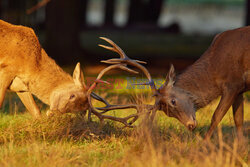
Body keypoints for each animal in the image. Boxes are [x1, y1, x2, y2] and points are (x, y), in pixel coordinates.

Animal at [0, 19, 145, 126]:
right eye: (72, 96)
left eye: (77, 111)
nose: (52, 114)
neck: (32, 64)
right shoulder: (6, 69)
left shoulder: (21, 86)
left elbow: (36, 112)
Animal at [98, 30, 249, 139]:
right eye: (168, 113)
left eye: (173, 101)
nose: (190, 126)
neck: (216, 66)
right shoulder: (239, 89)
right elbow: (238, 120)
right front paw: (240, 147)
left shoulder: (232, 83)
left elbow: (216, 116)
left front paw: (204, 143)